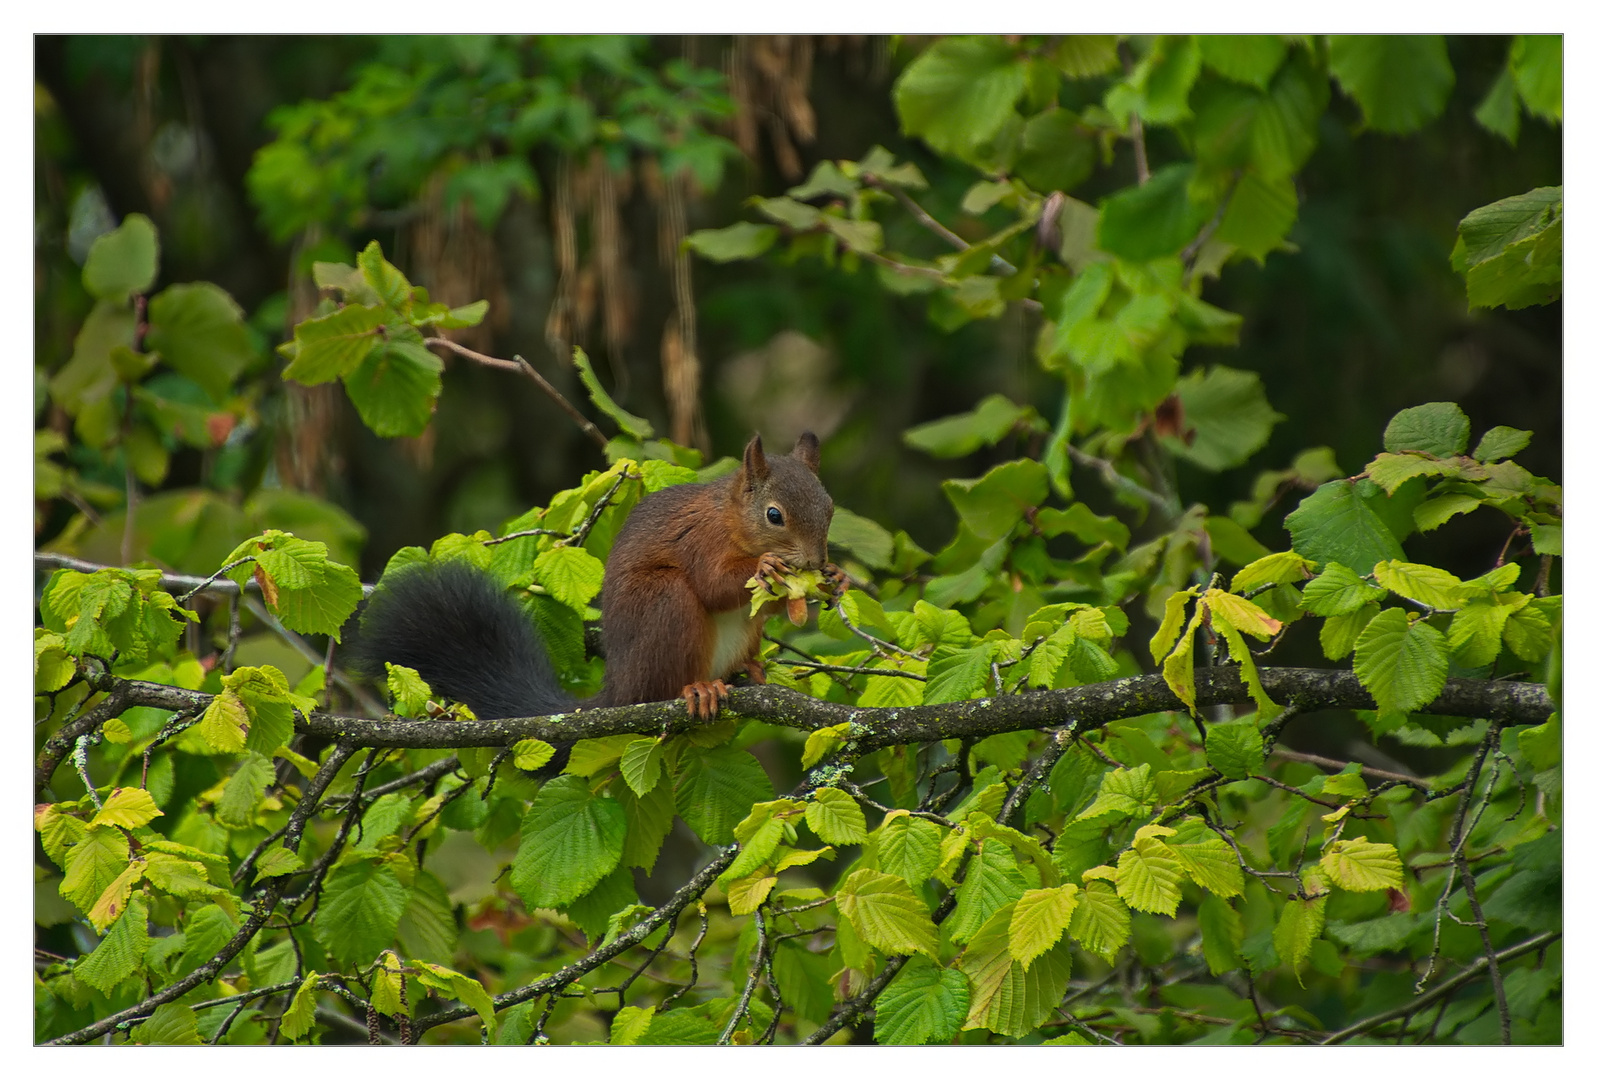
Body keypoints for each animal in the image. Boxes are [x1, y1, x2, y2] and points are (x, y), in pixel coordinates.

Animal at [348, 431, 836, 725]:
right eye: (774, 516)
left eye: (830, 507)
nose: (814, 560)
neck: (731, 519)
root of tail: (620, 688)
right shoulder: (700, 541)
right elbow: (714, 585)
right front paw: (767, 568)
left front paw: (834, 578)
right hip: (664, 605)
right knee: (662, 680)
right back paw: (697, 688)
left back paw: (750, 669)